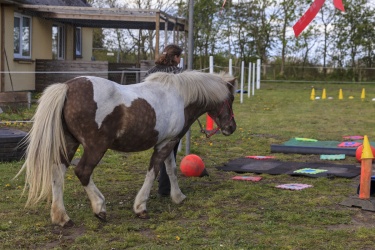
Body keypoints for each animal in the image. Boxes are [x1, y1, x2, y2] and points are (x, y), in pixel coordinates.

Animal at [17, 70, 236, 227]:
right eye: (231, 99)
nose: (231, 127)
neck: (179, 97)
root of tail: (67, 87)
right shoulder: (165, 144)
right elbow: (153, 171)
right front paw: (140, 207)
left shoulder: (168, 141)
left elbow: (171, 170)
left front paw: (178, 197)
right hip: (96, 147)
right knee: (83, 171)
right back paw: (99, 208)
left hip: (70, 143)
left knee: (57, 172)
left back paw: (62, 217)